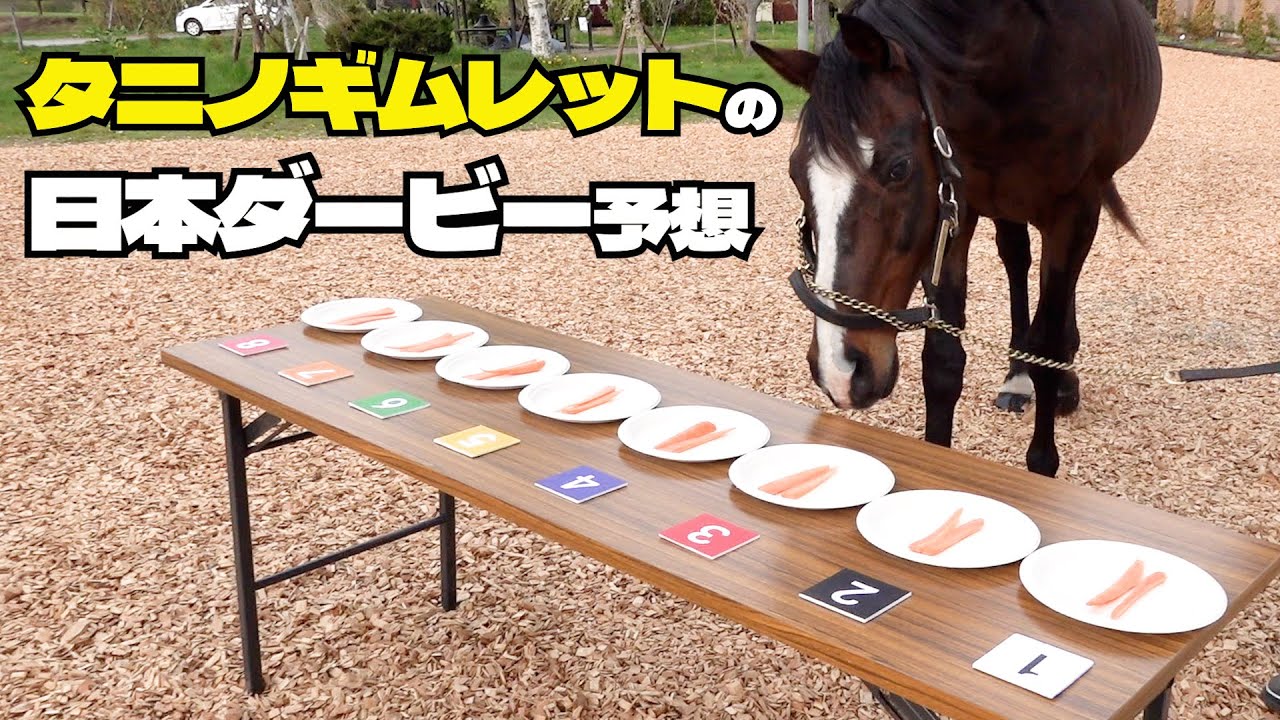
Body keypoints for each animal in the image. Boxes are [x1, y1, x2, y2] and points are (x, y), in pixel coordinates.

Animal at [752, 0, 1162, 476]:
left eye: (899, 168)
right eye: (796, 174)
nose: (841, 370)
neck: (1024, 55)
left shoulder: (1074, 209)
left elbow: (1050, 341)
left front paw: (1043, 457)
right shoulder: (955, 207)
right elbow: (943, 360)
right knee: (1016, 259)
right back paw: (1018, 374)